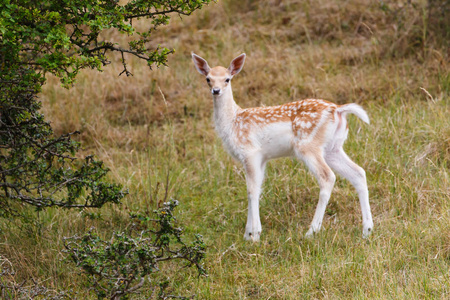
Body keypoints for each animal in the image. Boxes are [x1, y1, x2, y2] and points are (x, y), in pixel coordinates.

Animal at [192, 52, 374, 243]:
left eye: (227, 79)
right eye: (208, 79)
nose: (216, 90)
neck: (232, 122)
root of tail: (338, 110)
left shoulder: (250, 152)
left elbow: (252, 190)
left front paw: (254, 235)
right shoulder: (262, 158)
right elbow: (256, 189)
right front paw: (248, 234)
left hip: (308, 145)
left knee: (328, 177)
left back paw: (311, 231)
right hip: (333, 148)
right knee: (358, 173)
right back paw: (367, 230)